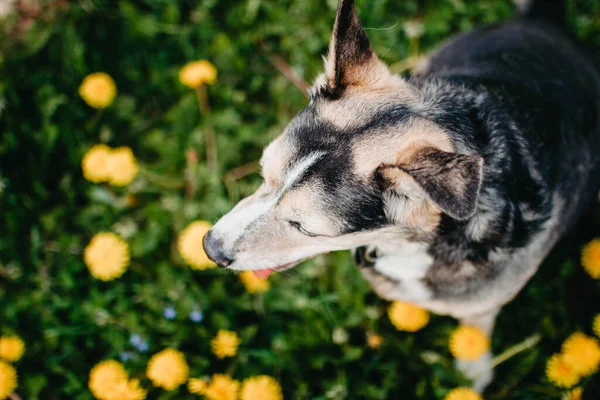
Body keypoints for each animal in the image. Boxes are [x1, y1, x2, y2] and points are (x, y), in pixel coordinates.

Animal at [204, 0, 600, 390]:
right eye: (263, 175)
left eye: (305, 228)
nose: (210, 248)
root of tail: (542, 20)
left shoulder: (484, 302)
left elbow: (475, 330)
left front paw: (473, 372)